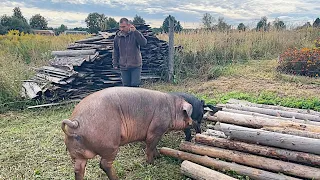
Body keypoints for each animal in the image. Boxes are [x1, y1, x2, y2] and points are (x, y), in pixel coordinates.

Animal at [61, 86, 194, 179]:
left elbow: (153, 146)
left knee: (78, 169)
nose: (192, 122)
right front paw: (152, 163)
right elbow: (150, 147)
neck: (172, 109)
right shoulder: (156, 130)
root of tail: (75, 122)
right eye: (187, 113)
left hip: (76, 154)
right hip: (110, 145)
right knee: (104, 164)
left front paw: (158, 156)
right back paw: (116, 178)